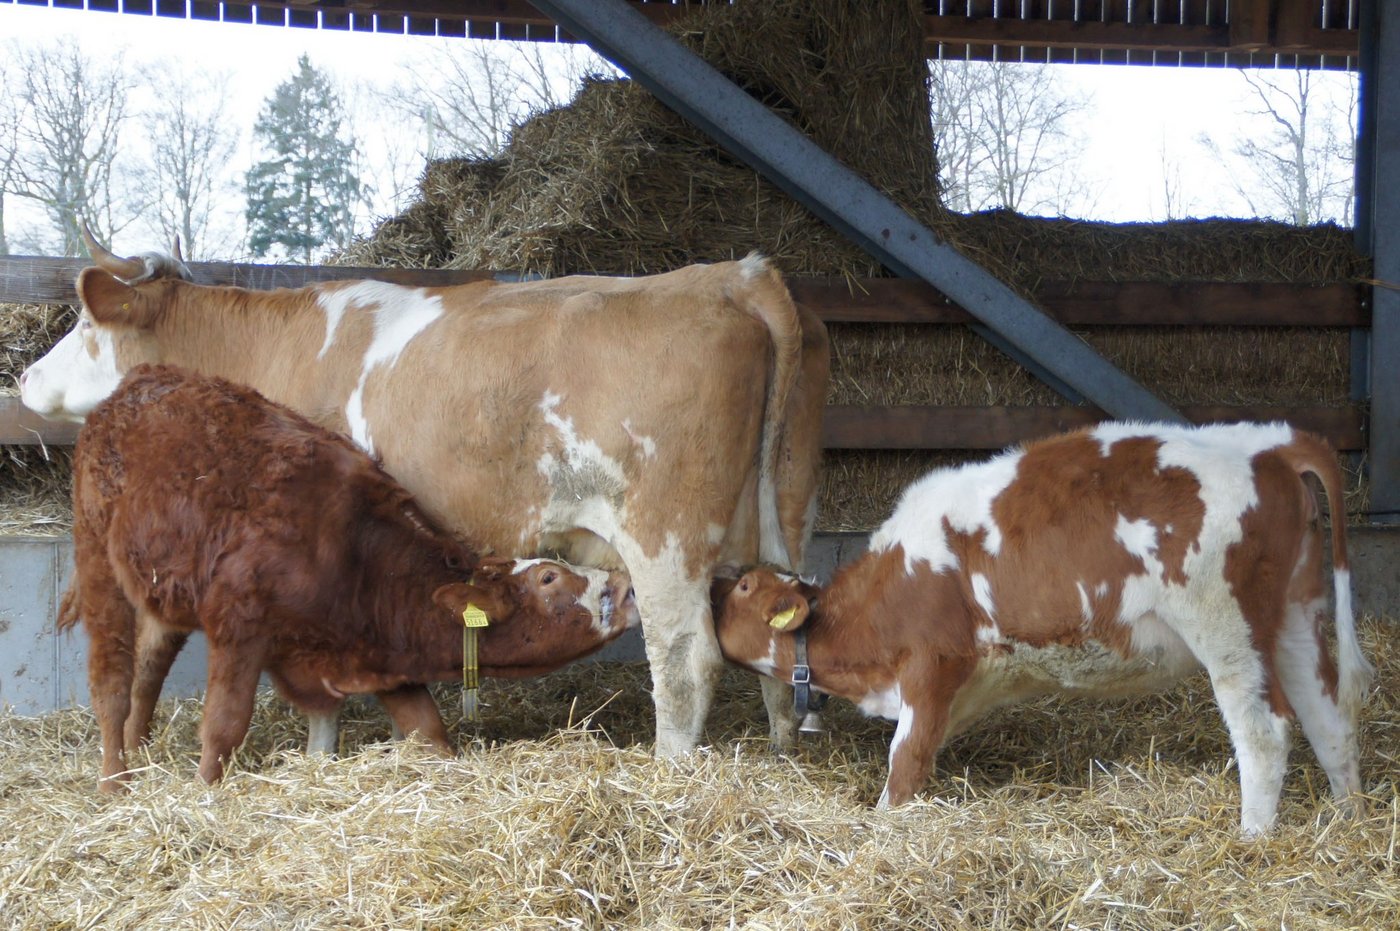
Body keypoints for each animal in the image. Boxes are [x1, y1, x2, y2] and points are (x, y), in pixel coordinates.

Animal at [63, 364, 640, 790]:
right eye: (548, 578)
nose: (625, 586)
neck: (356, 558)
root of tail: (142, 379)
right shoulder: (238, 625)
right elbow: (224, 725)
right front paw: (205, 795)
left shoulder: (378, 658)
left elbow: (425, 732)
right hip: (96, 557)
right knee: (111, 680)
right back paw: (115, 781)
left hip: (163, 589)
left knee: (148, 666)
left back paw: (139, 751)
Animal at [711, 422, 1373, 837]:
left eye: (744, 590)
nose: (714, 585)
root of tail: (1267, 441)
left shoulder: (931, 666)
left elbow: (906, 766)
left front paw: (882, 826)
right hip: (1296, 617)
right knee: (1329, 718)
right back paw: (1349, 821)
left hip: (1227, 629)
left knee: (1265, 732)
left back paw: (1252, 838)